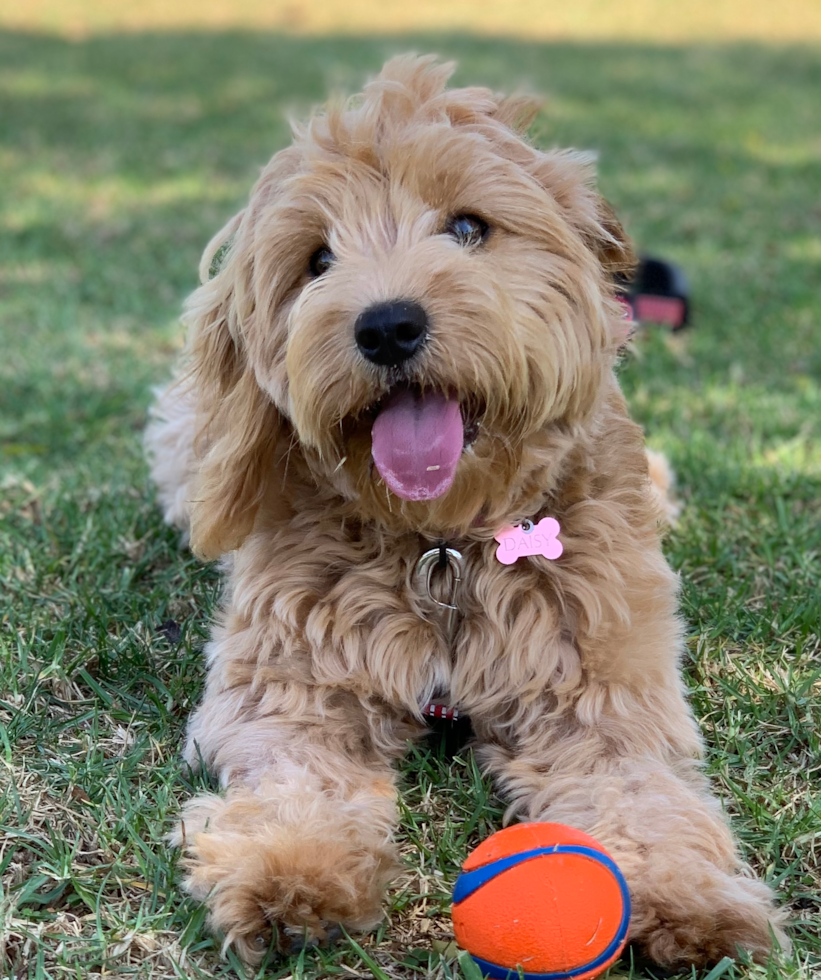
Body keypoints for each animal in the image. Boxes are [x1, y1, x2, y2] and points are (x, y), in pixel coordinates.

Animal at [147, 57, 788, 968]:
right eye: (317, 259)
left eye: (467, 227)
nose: (387, 325)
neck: (442, 547)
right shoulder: (290, 687)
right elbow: (297, 776)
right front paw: (288, 870)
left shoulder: (601, 690)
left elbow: (640, 792)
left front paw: (687, 896)